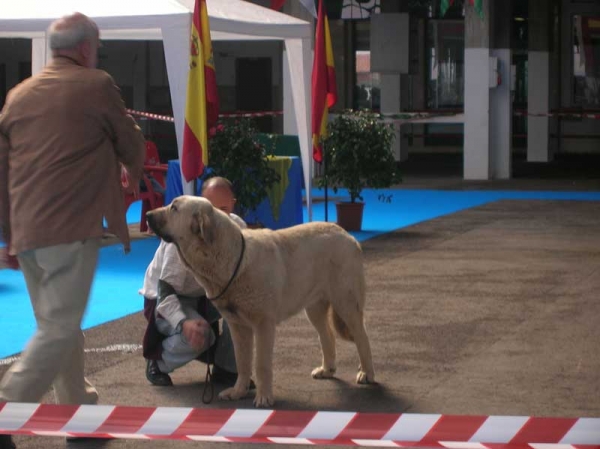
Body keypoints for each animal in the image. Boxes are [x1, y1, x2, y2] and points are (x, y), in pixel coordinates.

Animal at [146, 196, 376, 406]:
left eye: (174, 208)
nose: (147, 215)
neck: (229, 259)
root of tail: (347, 235)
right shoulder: (238, 326)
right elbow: (242, 361)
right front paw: (238, 391)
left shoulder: (263, 325)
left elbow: (261, 364)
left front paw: (264, 397)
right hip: (315, 308)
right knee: (327, 335)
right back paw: (327, 370)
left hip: (346, 303)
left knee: (362, 336)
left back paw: (366, 373)